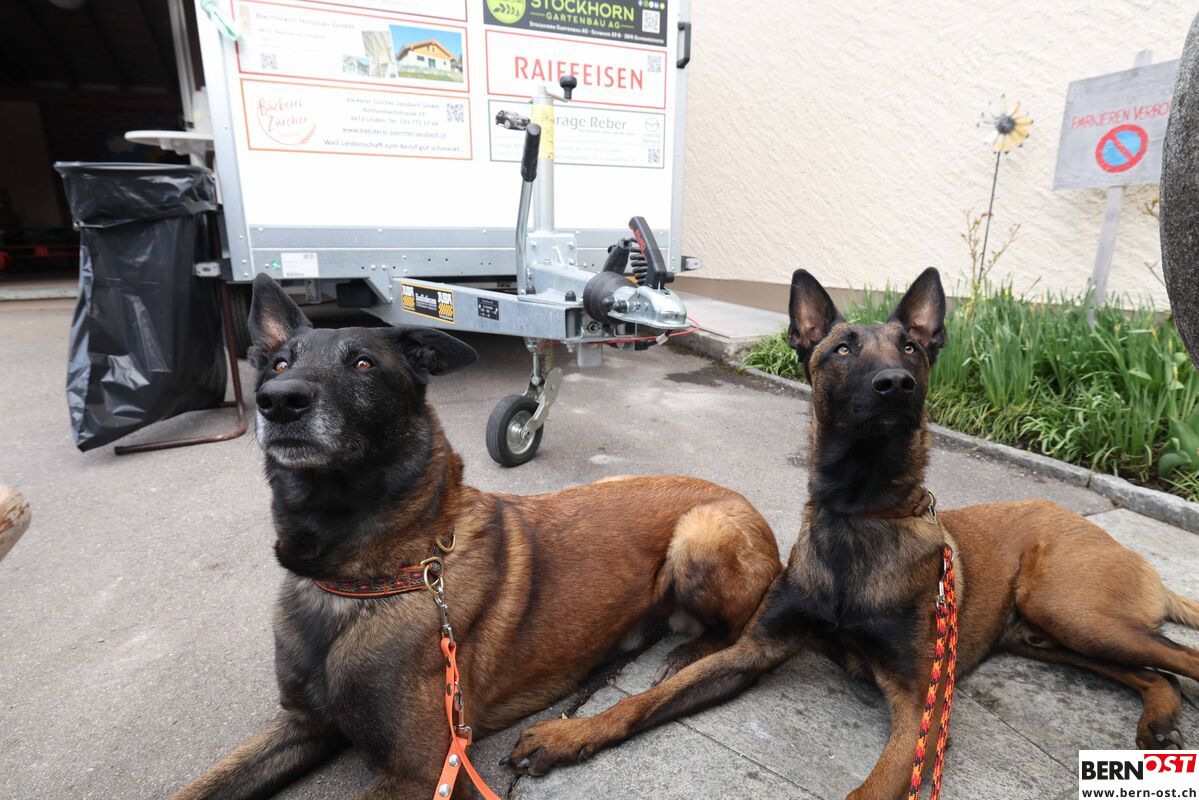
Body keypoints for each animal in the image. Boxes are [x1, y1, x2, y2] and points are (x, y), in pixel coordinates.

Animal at [168, 274, 782, 800]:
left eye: (363, 363)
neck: (361, 579)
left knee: (725, 638)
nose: (279, 400)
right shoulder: (303, 724)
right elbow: (203, 786)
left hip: (699, 534)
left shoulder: (423, 771)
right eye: (278, 363)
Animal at [505, 267, 1199, 799]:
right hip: (1049, 632)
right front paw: (568, 734)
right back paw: (1161, 719)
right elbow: (643, 701)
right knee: (1155, 672)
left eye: (912, 348)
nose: (897, 385)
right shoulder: (756, 650)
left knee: (1177, 658)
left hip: (1072, 610)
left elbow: (874, 786)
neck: (859, 517)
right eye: (843, 348)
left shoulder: (922, 704)